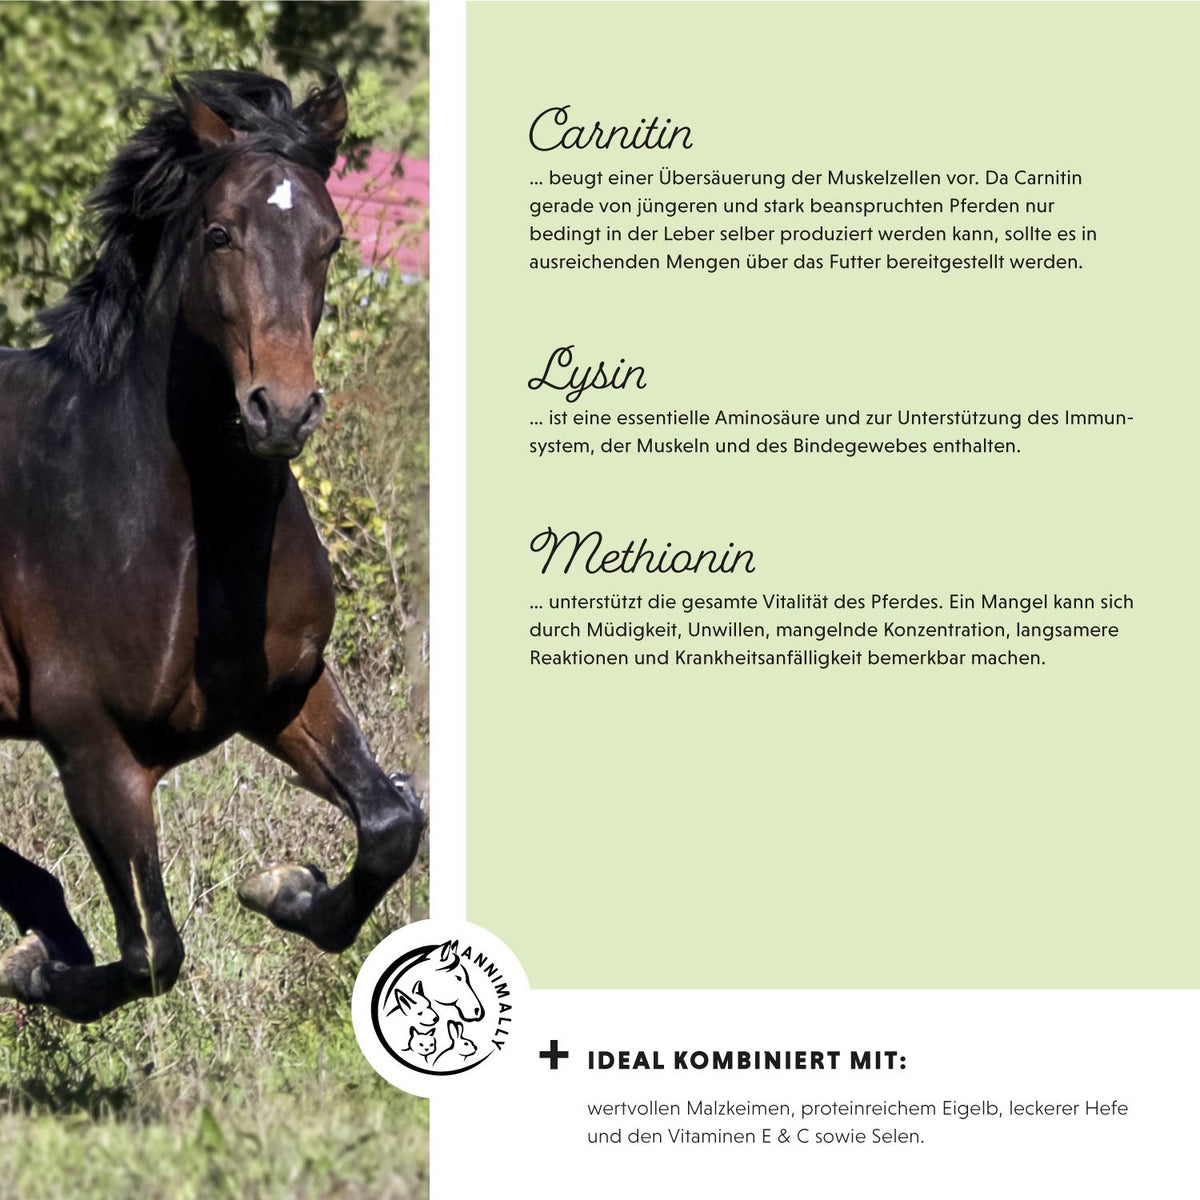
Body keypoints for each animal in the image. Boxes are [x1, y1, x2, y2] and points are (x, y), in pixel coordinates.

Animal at [0, 71, 424, 1022]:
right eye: (220, 233)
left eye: (331, 240)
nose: (282, 412)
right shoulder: (96, 752)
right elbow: (152, 952)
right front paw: (33, 969)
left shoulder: (287, 690)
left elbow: (391, 824)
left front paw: (287, 888)